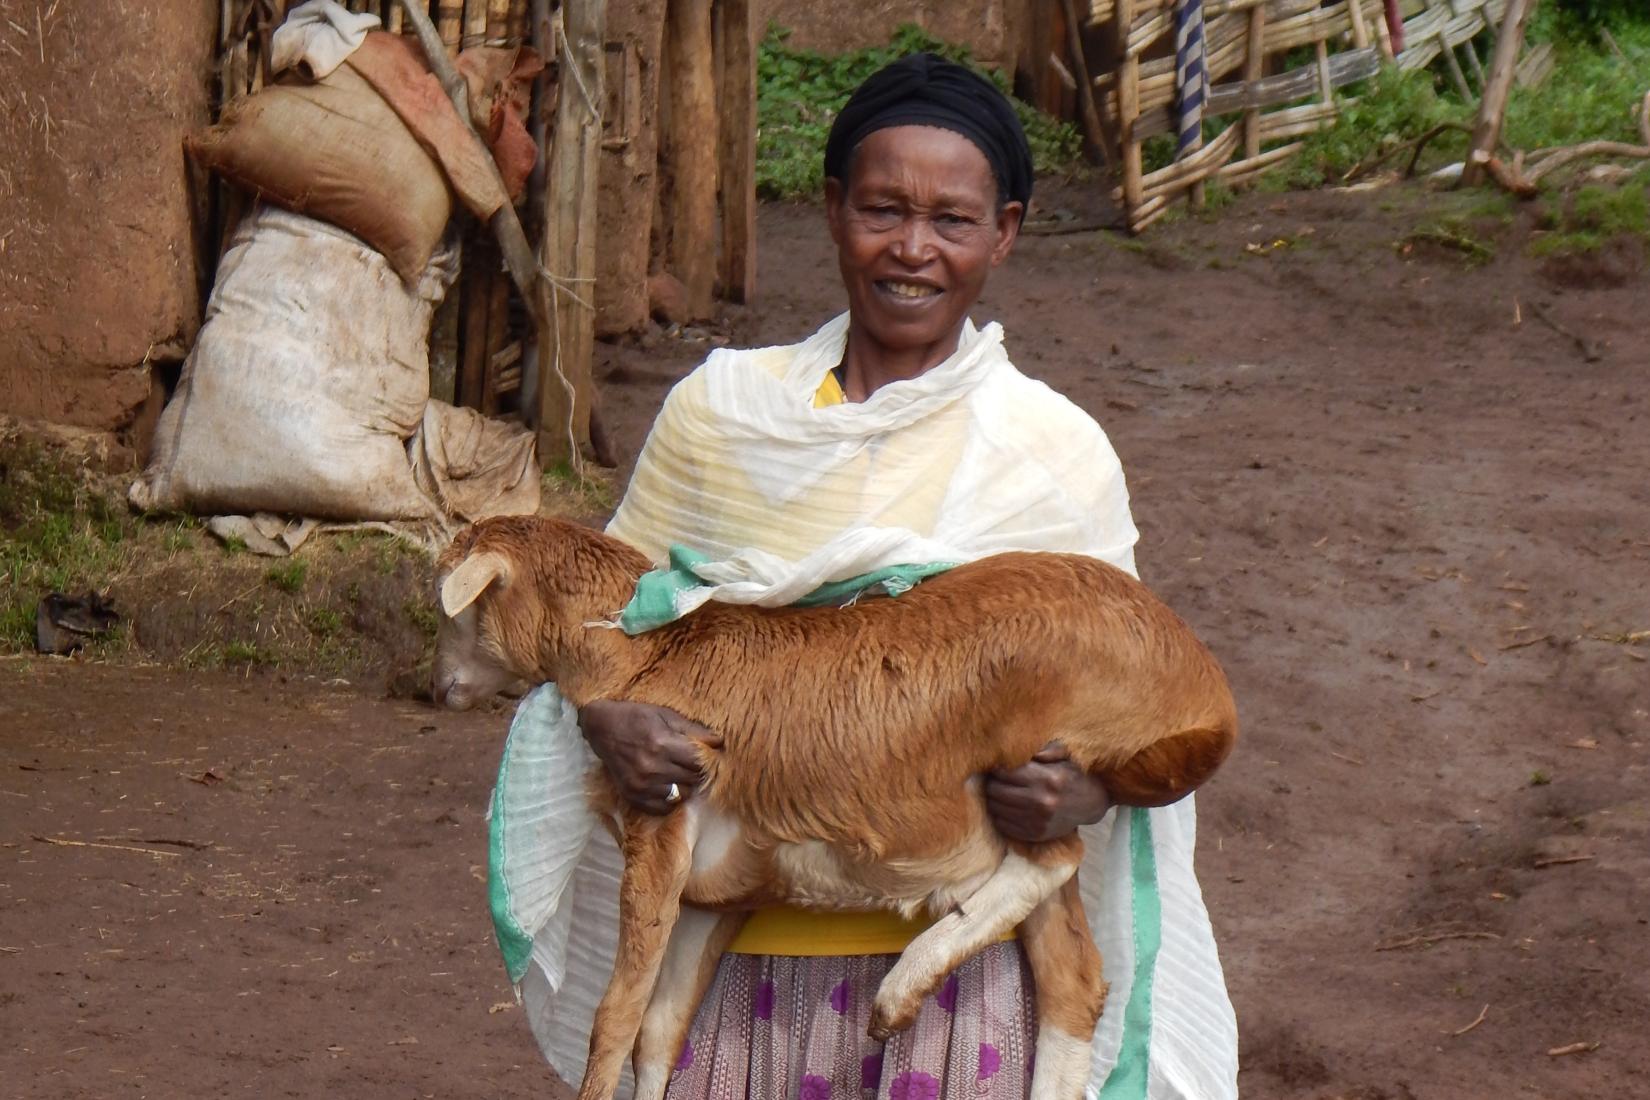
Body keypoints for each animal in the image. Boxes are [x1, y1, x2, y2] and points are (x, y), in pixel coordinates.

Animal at [433, 514, 1237, 1100]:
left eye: (453, 613)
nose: (439, 687)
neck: (640, 650)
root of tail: (1204, 688)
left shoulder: (661, 825)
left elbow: (617, 1018)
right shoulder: (711, 889)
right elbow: (661, 1028)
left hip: (1037, 752)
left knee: (1054, 857)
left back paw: (900, 989)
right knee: (1074, 979)